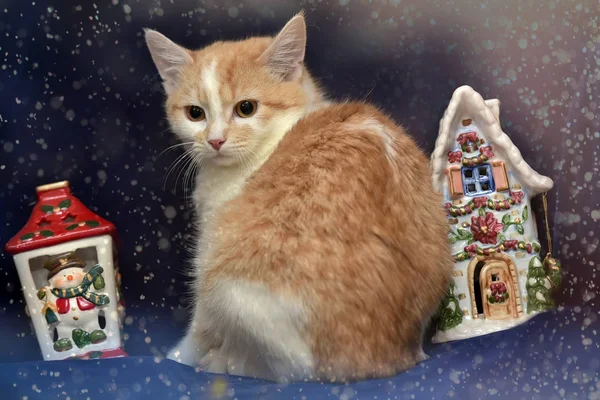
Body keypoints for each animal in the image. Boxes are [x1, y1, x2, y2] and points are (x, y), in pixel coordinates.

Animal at [145, 12, 452, 382]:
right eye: (195, 113)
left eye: (246, 108)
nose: (215, 140)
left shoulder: (211, 247)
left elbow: (196, 329)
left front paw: (177, 358)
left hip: (229, 285)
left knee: (290, 371)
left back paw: (226, 362)